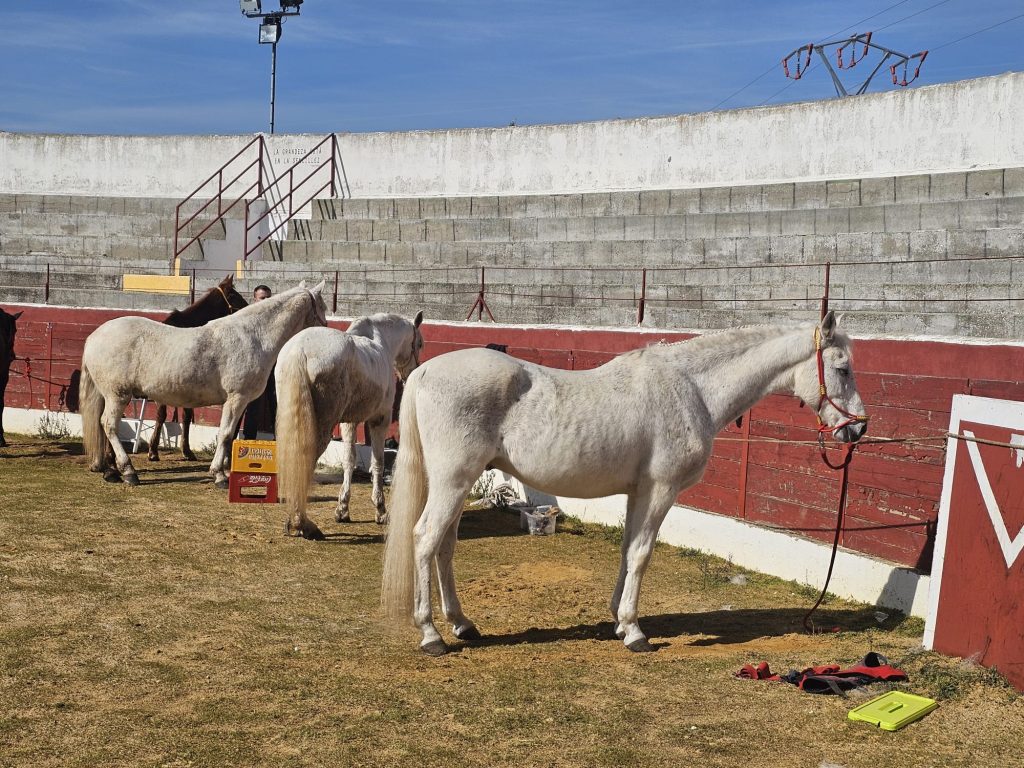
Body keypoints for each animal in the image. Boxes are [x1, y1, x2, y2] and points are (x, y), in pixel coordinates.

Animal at [275, 311, 425, 540]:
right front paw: (380, 510)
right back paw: (303, 524)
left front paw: (343, 510)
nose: (412, 373)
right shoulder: (379, 420)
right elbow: (378, 462)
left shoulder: (349, 422)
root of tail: (298, 351)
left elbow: (349, 460)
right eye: (420, 344)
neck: (380, 342)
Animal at [381, 311, 869, 656]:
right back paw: (431, 635)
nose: (859, 429)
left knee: (445, 546)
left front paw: (618, 618)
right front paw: (635, 631)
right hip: (453, 480)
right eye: (843, 368)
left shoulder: (639, 492)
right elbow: (641, 553)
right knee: (425, 539)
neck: (692, 389)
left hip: (455, 483)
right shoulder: (660, 490)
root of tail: (424, 373)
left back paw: (462, 623)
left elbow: (627, 549)